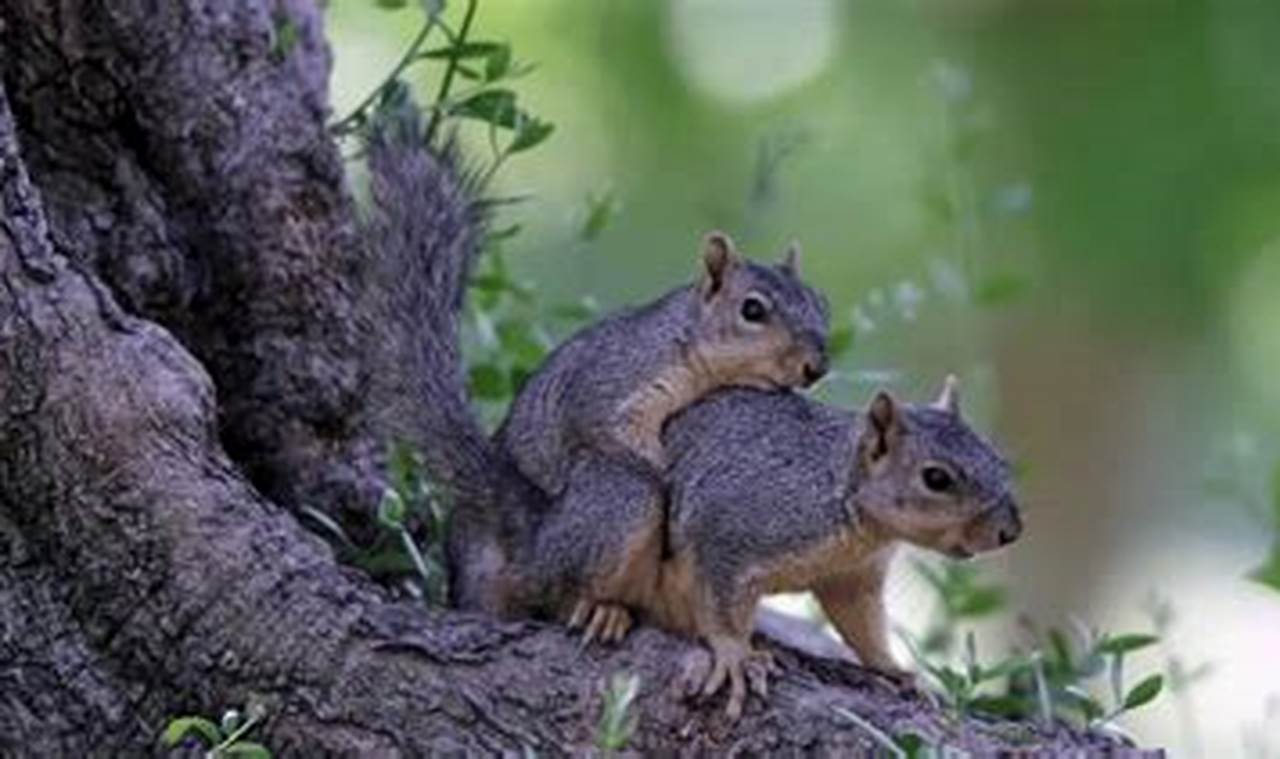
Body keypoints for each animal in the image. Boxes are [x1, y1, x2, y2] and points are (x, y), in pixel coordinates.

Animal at [364, 95, 1019, 719]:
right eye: (937, 478)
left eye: (1001, 460)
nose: (1010, 531)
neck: (842, 495)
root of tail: (519, 525)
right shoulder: (735, 530)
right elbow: (722, 596)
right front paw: (733, 655)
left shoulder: (853, 577)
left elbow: (861, 627)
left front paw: (897, 672)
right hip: (614, 508)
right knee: (556, 585)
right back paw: (601, 609)